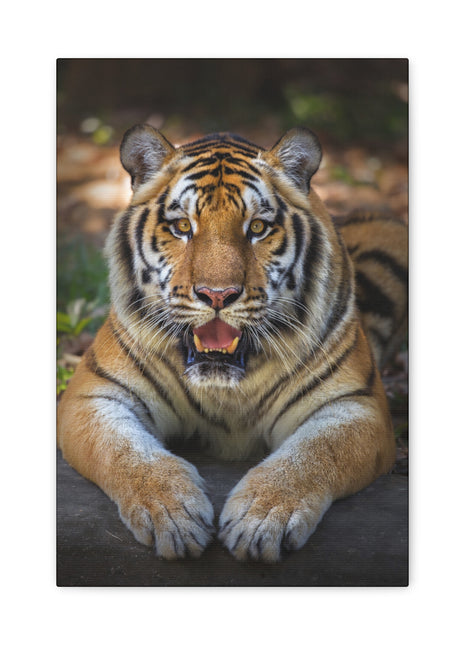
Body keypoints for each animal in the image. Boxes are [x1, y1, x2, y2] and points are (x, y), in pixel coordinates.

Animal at [57, 125, 408, 563]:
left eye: (257, 228)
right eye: (182, 226)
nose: (217, 295)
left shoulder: (356, 406)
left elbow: (313, 455)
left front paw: (261, 519)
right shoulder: (94, 396)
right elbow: (125, 452)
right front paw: (173, 513)